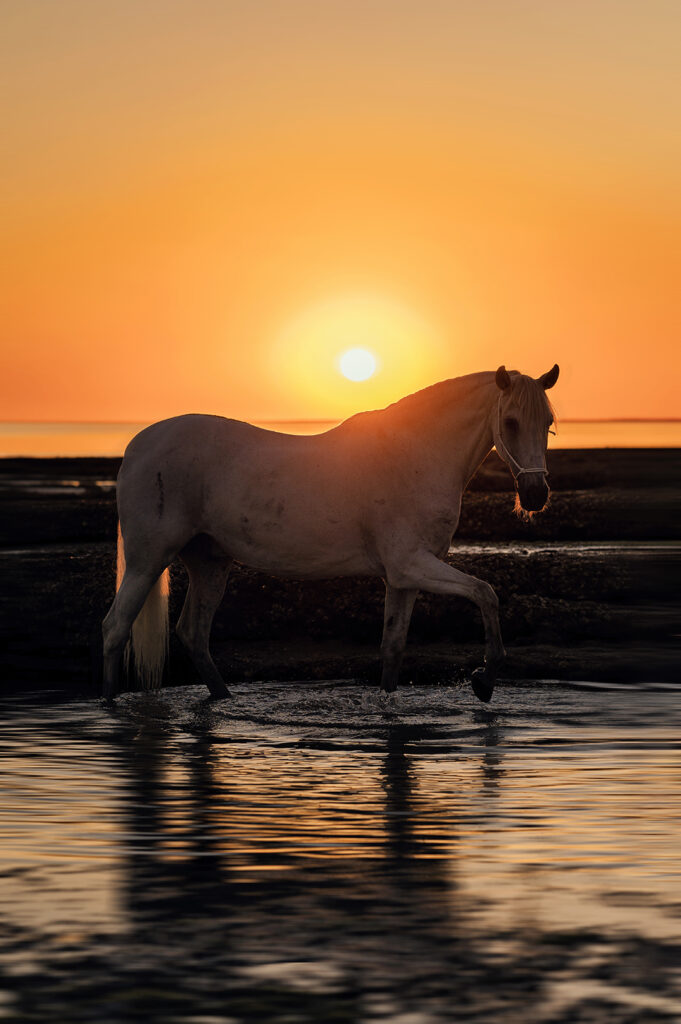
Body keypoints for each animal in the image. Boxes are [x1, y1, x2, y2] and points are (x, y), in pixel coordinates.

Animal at [100, 362, 557, 704]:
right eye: (511, 422)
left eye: (549, 423)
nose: (536, 495)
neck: (416, 455)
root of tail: (137, 445)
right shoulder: (411, 565)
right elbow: (486, 593)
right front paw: (485, 680)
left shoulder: (403, 578)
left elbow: (393, 647)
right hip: (147, 561)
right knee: (115, 628)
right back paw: (109, 706)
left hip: (210, 563)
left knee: (192, 633)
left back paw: (224, 698)